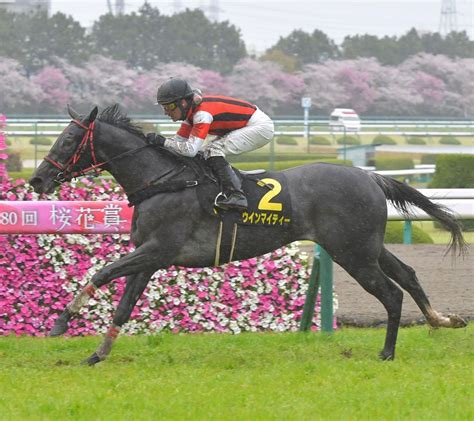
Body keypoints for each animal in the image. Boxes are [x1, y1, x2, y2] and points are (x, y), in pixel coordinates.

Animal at [28, 103, 466, 362]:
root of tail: (370, 176)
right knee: (408, 275)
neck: (164, 181)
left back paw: (388, 352)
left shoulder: (157, 249)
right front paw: (98, 353)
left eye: (68, 139)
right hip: (364, 247)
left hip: (353, 253)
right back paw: (443, 320)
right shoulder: (149, 257)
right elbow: (124, 303)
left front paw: (61, 323)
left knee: (391, 293)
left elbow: (101, 273)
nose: (37, 179)